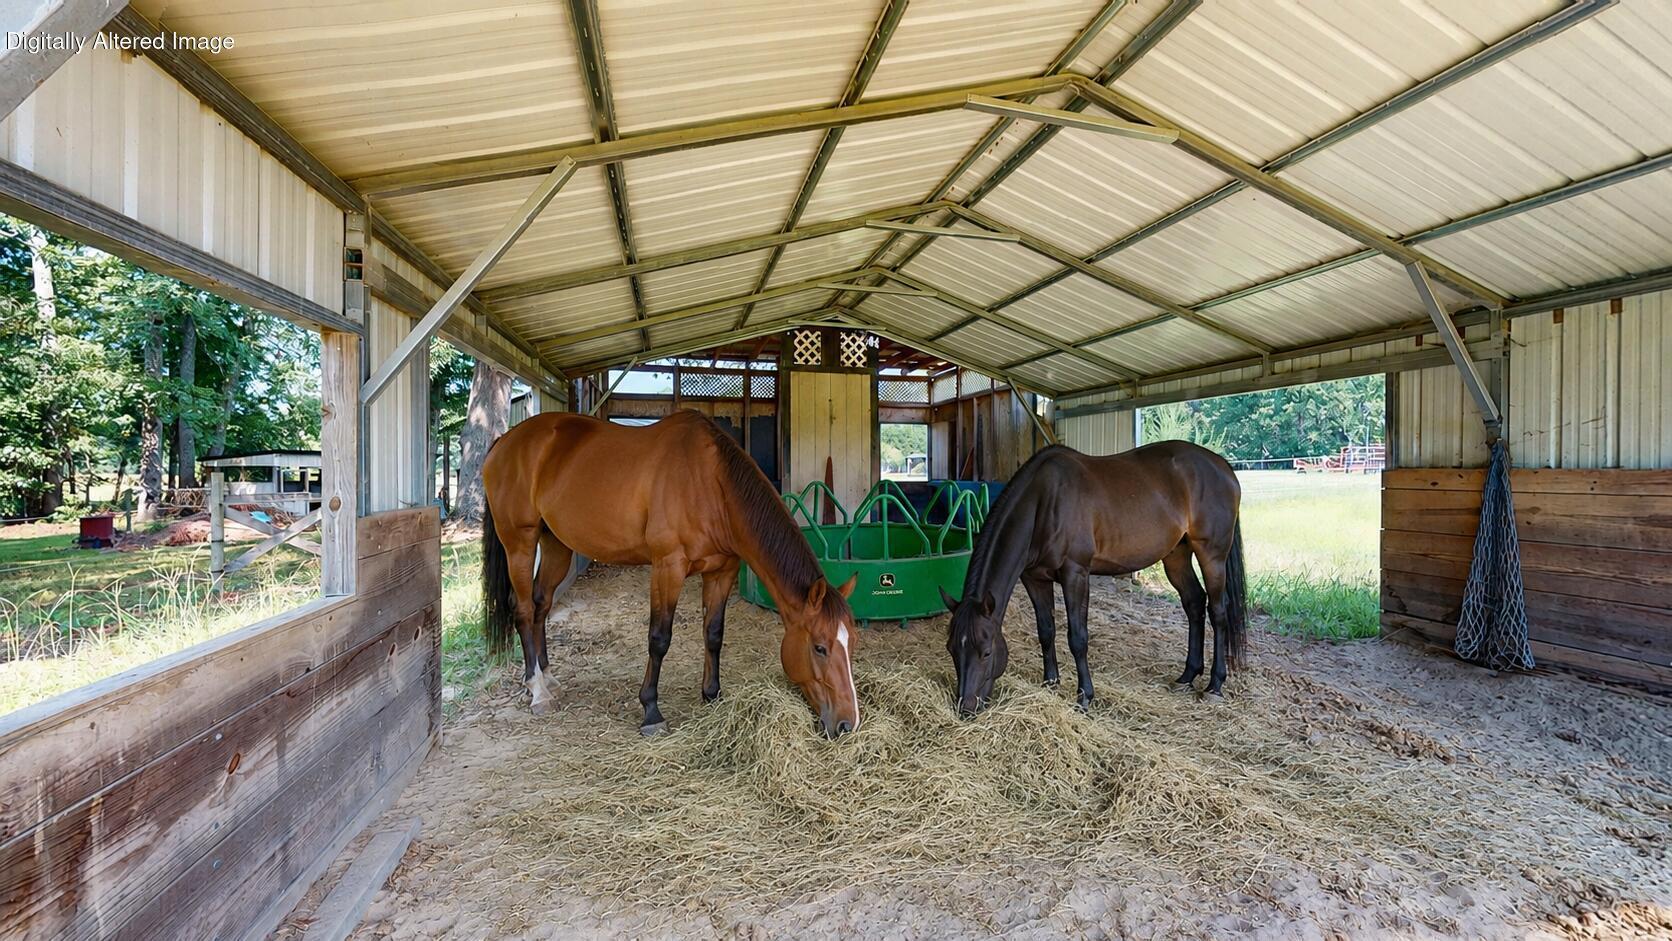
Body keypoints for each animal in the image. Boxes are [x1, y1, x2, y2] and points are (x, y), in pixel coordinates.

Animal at [481, 410, 860, 737]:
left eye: (852, 643)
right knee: (524, 609)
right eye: (820, 647)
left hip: (556, 545)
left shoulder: (722, 571)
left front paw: (712, 695)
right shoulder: (668, 567)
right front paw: (651, 711)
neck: (711, 484)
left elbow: (714, 634)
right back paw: (537, 691)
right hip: (520, 541)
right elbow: (659, 638)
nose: (847, 723)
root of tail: (504, 441)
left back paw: (546, 677)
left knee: (542, 604)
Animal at [942, 441, 1246, 715]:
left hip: (1212, 554)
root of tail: (1224, 468)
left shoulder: (1075, 574)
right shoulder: (1034, 578)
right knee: (1194, 603)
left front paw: (1085, 697)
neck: (1043, 502)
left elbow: (1078, 638)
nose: (966, 708)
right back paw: (1187, 676)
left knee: (1218, 611)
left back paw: (1214, 685)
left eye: (986, 652)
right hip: (1176, 555)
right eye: (952, 650)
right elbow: (1046, 631)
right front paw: (1050, 683)